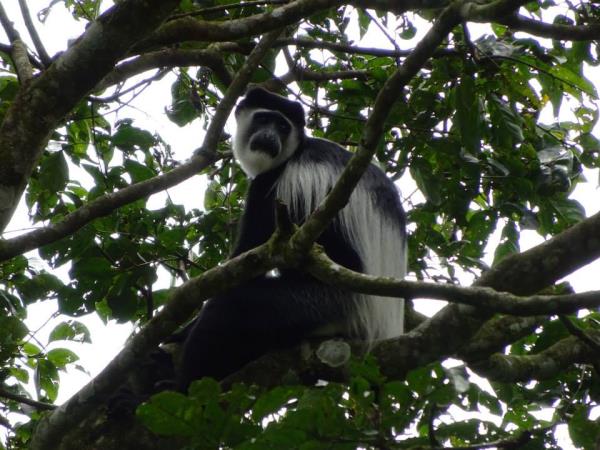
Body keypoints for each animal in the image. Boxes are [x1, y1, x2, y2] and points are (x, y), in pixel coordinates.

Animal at [177, 87, 404, 386]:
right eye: (263, 119)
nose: (269, 136)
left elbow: (245, 263)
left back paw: (184, 385)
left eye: (283, 127)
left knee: (233, 308)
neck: (293, 153)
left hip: (324, 305)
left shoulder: (271, 186)